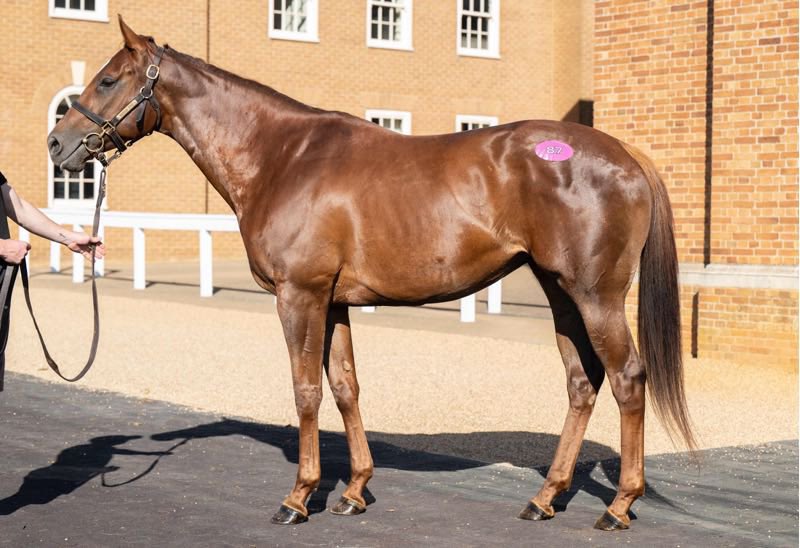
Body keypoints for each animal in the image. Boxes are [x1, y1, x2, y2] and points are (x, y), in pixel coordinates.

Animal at [47, 17, 695, 530]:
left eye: (109, 80)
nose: (58, 143)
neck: (282, 157)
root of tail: (626, 155)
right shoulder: (333, 302)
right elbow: (345, 388)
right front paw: (354, 491)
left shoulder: (299, 296)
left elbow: (306, 391)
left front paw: (299, 497)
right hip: (560, 291)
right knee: (582, 382)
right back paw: (545, 497)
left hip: (595, 295)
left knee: (627, 378)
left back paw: (619, 506)